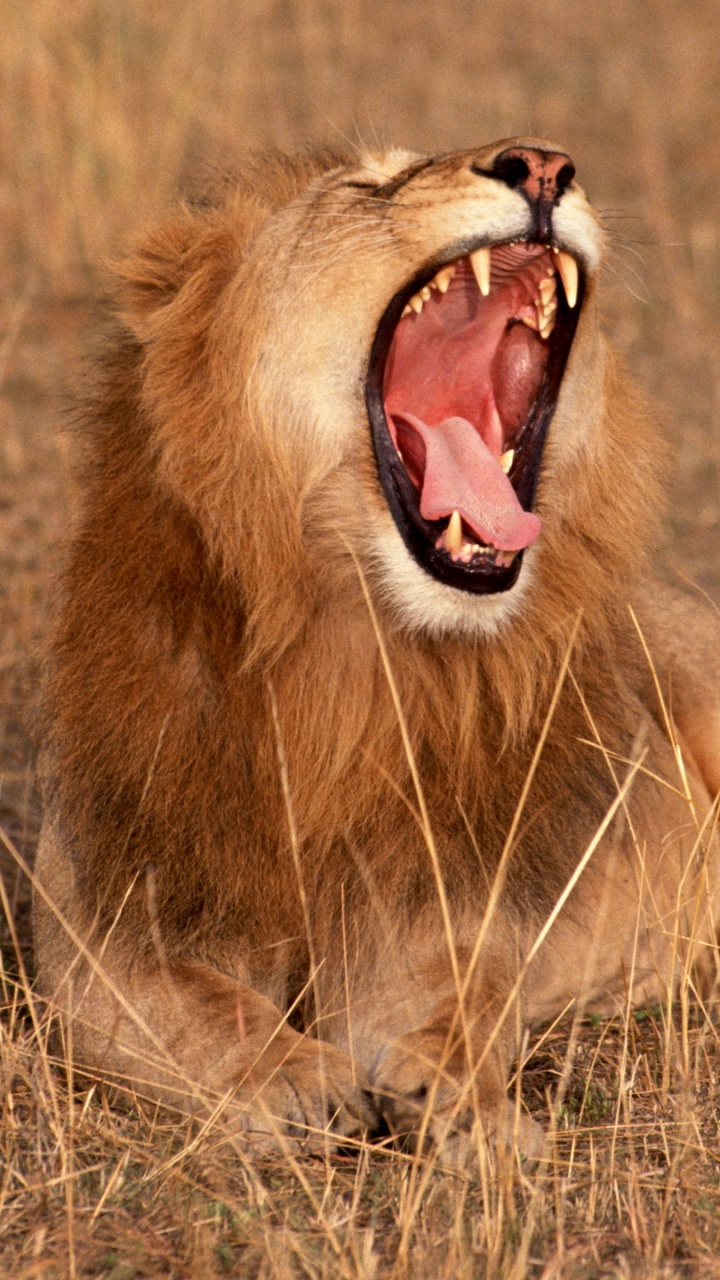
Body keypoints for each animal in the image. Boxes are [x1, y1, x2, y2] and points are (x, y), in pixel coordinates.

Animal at [34, 138, 720, 1163]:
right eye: (372, 185)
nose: (544, 164)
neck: (348, 655)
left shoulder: (431, 899)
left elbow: (466, 997)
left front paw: (469, 1102)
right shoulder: (100, 915)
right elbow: (191, 1005)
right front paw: (291, 1077)